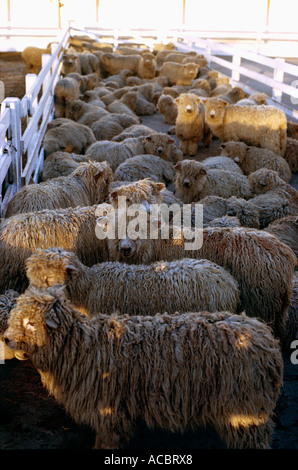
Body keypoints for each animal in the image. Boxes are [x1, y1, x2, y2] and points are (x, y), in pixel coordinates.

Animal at [4, 284, 284, 450]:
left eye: (30, 322)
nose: (5, 339)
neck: (81, 346)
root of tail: (267, 338)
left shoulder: (109, 409)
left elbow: (108, 439)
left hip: (245, 407)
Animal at [106, 221, 296, 342]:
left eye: (138, 228)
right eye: (115, 229)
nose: (125, 248)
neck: (156, 242)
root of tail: (284, 254)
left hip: (262, 302)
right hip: (278, 304)